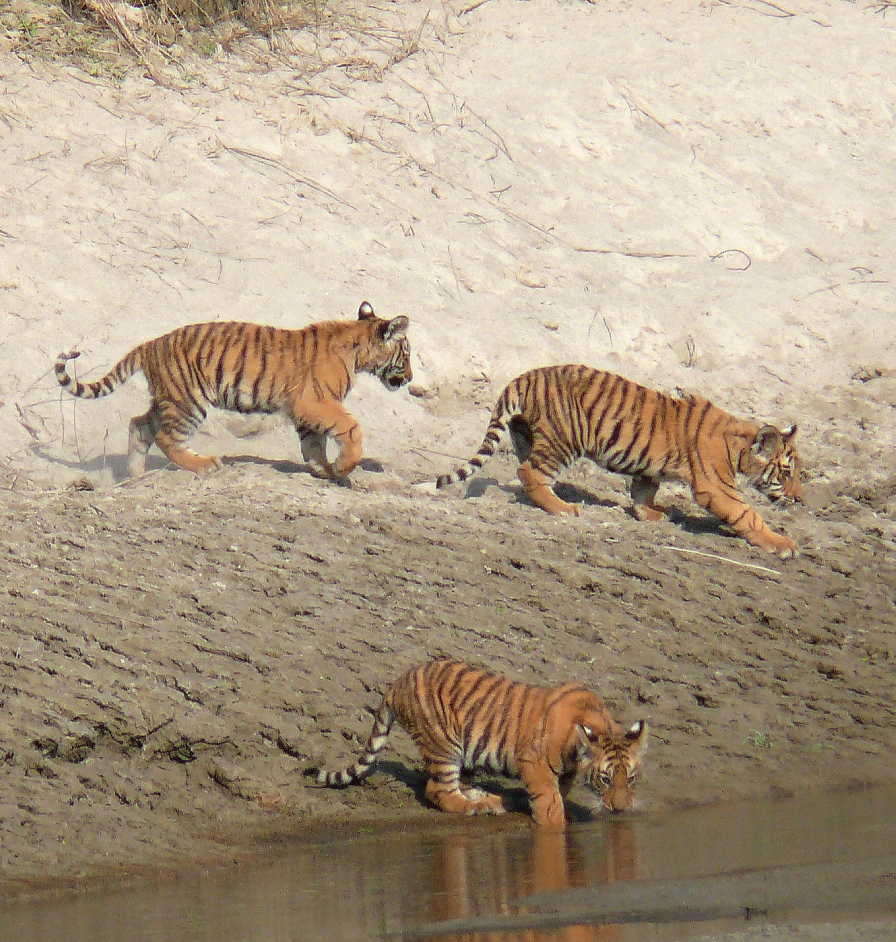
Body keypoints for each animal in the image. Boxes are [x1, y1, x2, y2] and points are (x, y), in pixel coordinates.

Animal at [55, 302, 411, 480]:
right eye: (406, 353)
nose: (409, 378)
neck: (358, 348)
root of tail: (150, 344)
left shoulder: (306, 408)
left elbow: (314, 444)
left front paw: (324, 470)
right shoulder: (316, 401)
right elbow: (350, 428)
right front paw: (343, 467)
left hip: (168, 398)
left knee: (140, 425)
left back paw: (134, 475)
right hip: (189, 402)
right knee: (166, 438)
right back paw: (204, 465)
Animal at [306, 659, 647, 830]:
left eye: (631, 778)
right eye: (605, 779)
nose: (621, 809)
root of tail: (398, 681)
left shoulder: (564, 772)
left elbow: (559, 792)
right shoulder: (534, 763)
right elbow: (548, 801)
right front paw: (555, 824)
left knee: (463, 784)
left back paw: (495, 800)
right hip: (445, 744)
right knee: (438, 790)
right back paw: (476, 807)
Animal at [436, 364, 803, 559]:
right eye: (786, 474)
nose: (799, 499)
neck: (739, 445)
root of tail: (524, 377)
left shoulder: (650, 466)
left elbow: (643, 489)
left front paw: (650, 514)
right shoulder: (717, 488)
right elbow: (748, 515)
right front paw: (782, 544)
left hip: (527, 435)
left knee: (527, 471)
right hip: (564, 440)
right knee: (529, 472)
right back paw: (563, 508)